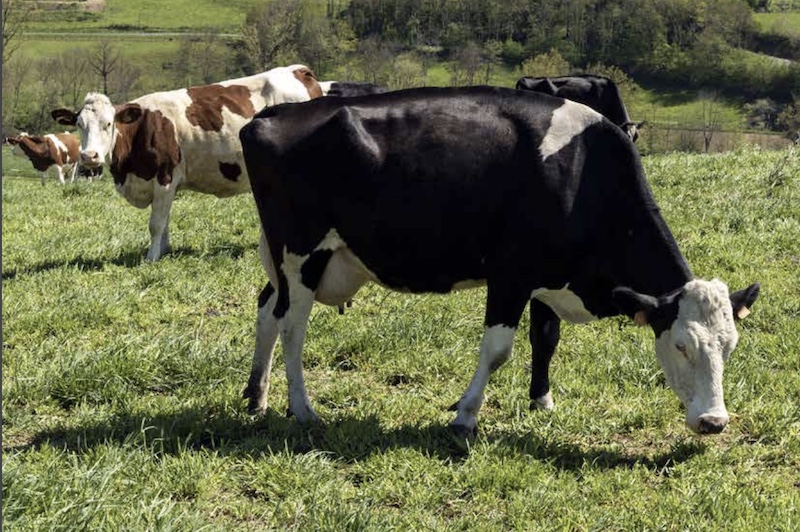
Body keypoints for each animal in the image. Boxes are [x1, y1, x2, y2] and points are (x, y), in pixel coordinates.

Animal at [50, 65, 326, 262]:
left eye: (109, 123)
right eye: (79, 124)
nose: (89, 156)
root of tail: (299, 71)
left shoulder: (164, 177)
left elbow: (155, 224)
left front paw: (150, 258)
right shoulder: (165, 186)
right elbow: (164, 221)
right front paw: (163, 251)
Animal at [238, 86, 760, 437]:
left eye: (731, 347)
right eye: (681, 346)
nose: (714, 421)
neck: (582, 174)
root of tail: (272, 115)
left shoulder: (548, 275)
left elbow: (545, 339)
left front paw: (542, 401)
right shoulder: (511, 275)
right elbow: (497, 350)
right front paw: (466, 415)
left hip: (290, 261)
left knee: (267, 311)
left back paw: (256, 396)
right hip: (302, 255)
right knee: (292, 327)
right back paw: (303, 409)